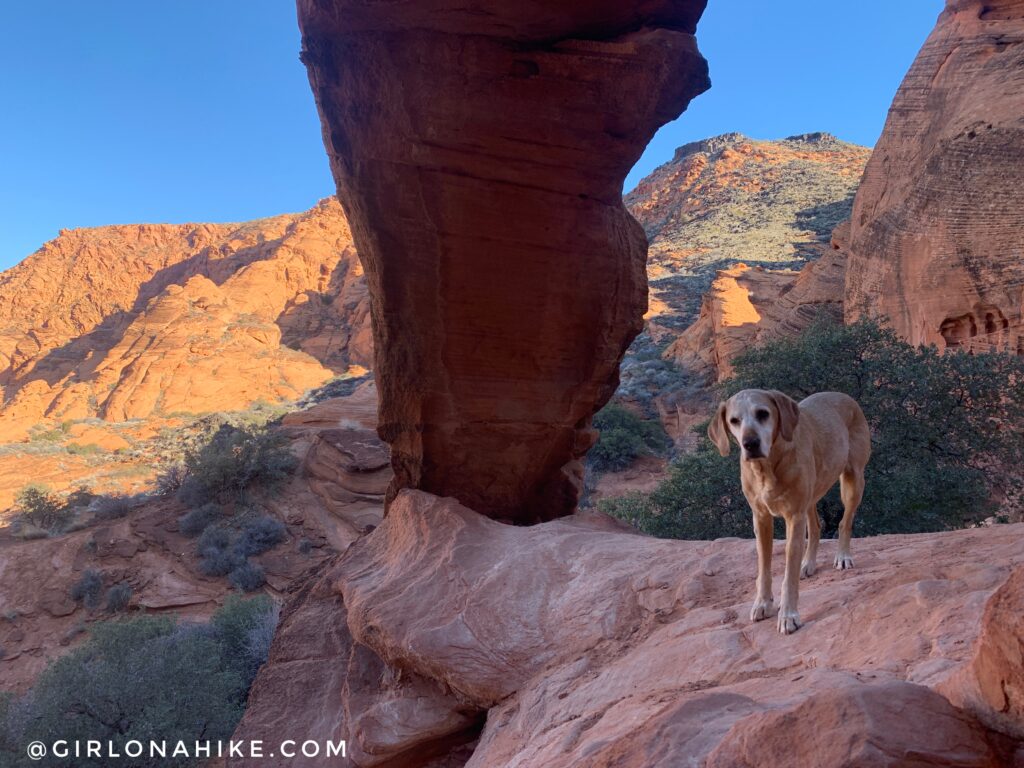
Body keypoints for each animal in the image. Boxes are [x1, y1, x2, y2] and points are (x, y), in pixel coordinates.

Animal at [708, 391, 868, 638]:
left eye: (762, 413)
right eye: (734, 420)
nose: (750, 443)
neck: (767, 467)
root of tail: (844, 396)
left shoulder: (794, 516)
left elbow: (788, 575)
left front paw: (788, 615)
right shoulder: (761, 518)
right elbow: (764, 567)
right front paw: (763, 603)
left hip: (853, 480)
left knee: (845, 521)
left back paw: (842, 555)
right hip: (811, 494)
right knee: (815, 527)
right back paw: (808, 563)